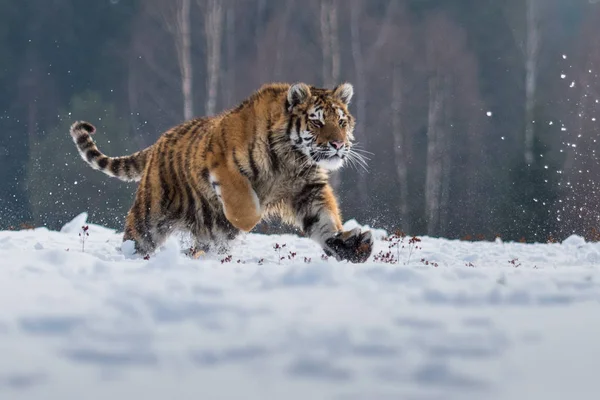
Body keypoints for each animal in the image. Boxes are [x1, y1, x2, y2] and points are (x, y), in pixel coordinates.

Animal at [68, 82, 372, 262]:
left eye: (342, 122)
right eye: (317, 122)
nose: (338, 144)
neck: (293, 157)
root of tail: (157, 144)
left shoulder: (308, 189)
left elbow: (325, 220)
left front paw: (353, 245)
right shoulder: (226, 169)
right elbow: (246, 208)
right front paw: (247, 220)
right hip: (149, 218)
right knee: (138, 240)